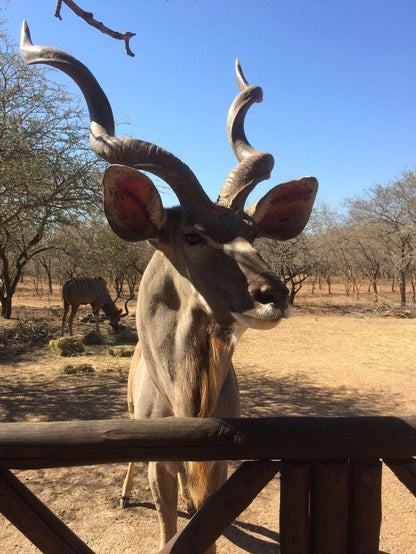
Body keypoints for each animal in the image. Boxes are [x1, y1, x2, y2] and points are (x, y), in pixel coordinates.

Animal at [22, 23, 318, 552]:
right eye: (193, 236)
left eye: (252, 233)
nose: (275, 295)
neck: (186, 399)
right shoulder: (158, 451)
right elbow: (166, 523)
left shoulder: (218, 461)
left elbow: (207, 520)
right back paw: (123, 494)